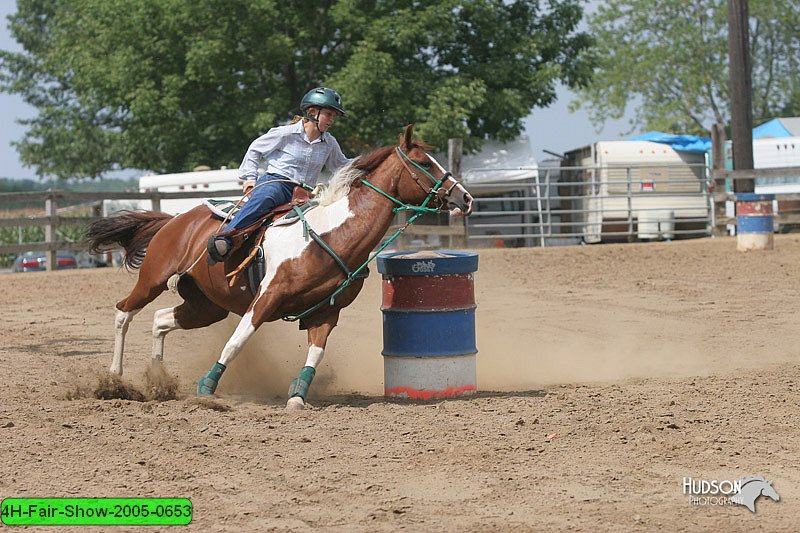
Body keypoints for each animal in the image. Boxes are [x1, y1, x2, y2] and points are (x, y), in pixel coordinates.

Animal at [86, 123, 476, 408]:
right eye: (425, 163)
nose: (465, 197)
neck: (329, 234)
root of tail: (175, 220)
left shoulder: (326, 311)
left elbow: (316, 354)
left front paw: (298, 397)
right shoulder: (266, 298)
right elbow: (237, 342)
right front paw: (207, 387)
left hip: (206, 305)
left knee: (161, 320)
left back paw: (158, 380)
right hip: (153, 278)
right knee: (124, 313)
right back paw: (114, 378)